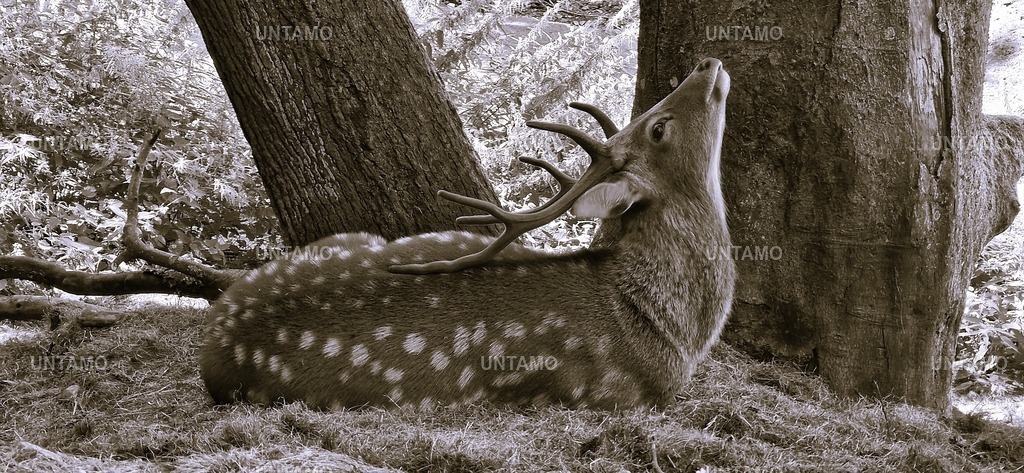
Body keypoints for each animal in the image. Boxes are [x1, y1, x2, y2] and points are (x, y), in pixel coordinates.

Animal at [199, 58, 736, 410]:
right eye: (659, 129)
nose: (708, 62)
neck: (668, 331)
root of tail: (213, 344)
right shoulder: (620, 396)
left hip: (345, 239)